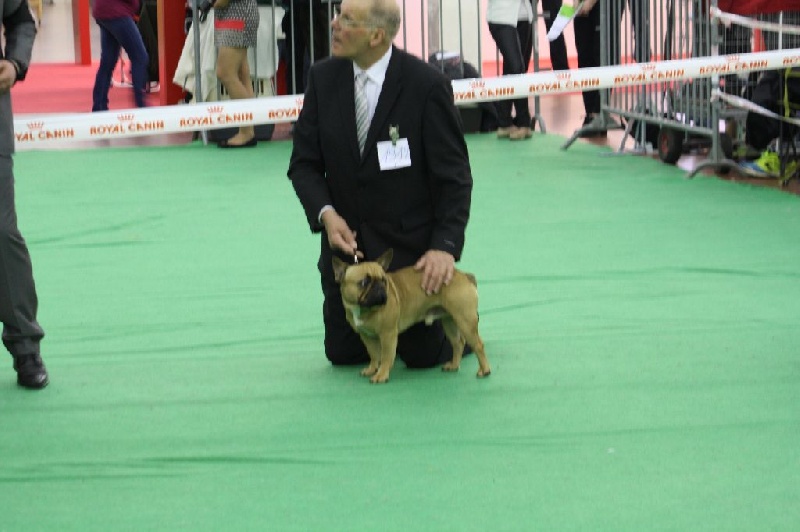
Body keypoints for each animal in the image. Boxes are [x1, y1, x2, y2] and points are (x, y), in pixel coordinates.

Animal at [332, 249, 491, 383]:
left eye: (384, 280)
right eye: (364, 282)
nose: (380, 287)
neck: (364, 309)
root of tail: (464, 276)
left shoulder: (387, 335)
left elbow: (386, 357)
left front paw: (381, 375)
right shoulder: (366, 336)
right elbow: (374, 355)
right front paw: (372, 369)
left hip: (464, 320)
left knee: (478, 344)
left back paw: (484, 370)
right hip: (449, 321)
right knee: (458, 343)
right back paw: (453, 365)